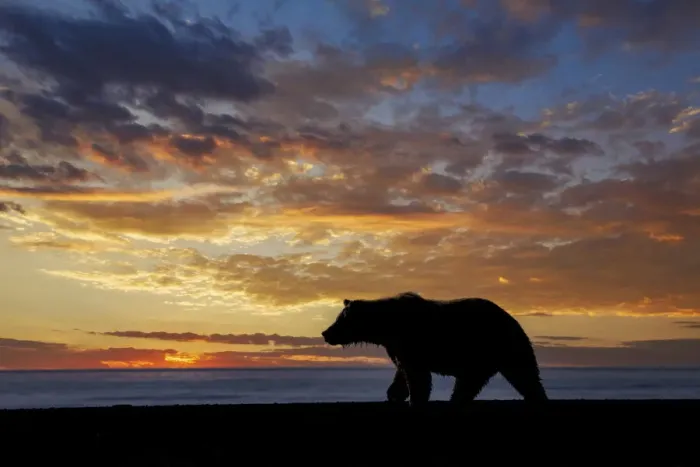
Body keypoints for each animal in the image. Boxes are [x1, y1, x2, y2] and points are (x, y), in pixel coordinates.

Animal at [321, 291, 548, 407]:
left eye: (339, 319)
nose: (325, 333)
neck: (387, 327)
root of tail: (512, 318)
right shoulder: (397, 347)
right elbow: (402, 371)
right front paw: (394, 394)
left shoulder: (413, 342)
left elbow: (418, 376)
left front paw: (416, 399)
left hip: (492, 346)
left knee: (515, 374)